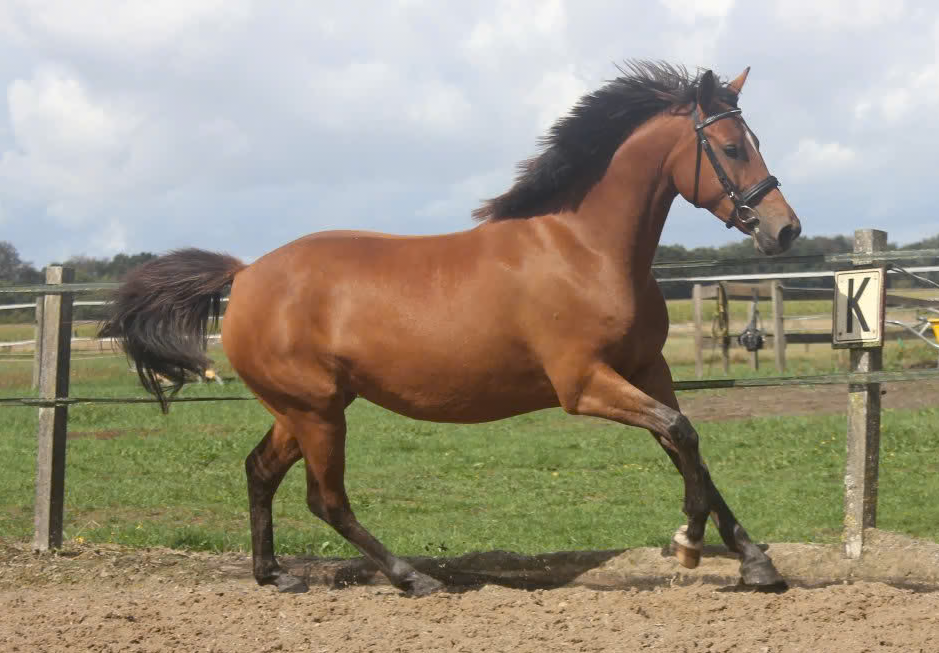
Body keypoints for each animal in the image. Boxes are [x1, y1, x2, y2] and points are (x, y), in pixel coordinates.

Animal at [100, 61, 801, 596]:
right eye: (732, 147)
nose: (784, 228)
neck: (586, 248)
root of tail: (244, 275)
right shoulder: (584, 385)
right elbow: (682, 435)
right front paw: (688, 543)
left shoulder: (646, 371)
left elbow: (689, 449)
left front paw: (754, 562)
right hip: (318, 411)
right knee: (326, 499)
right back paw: (412, 577)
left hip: (302, 409)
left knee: (259, 471)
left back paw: (273, 575)